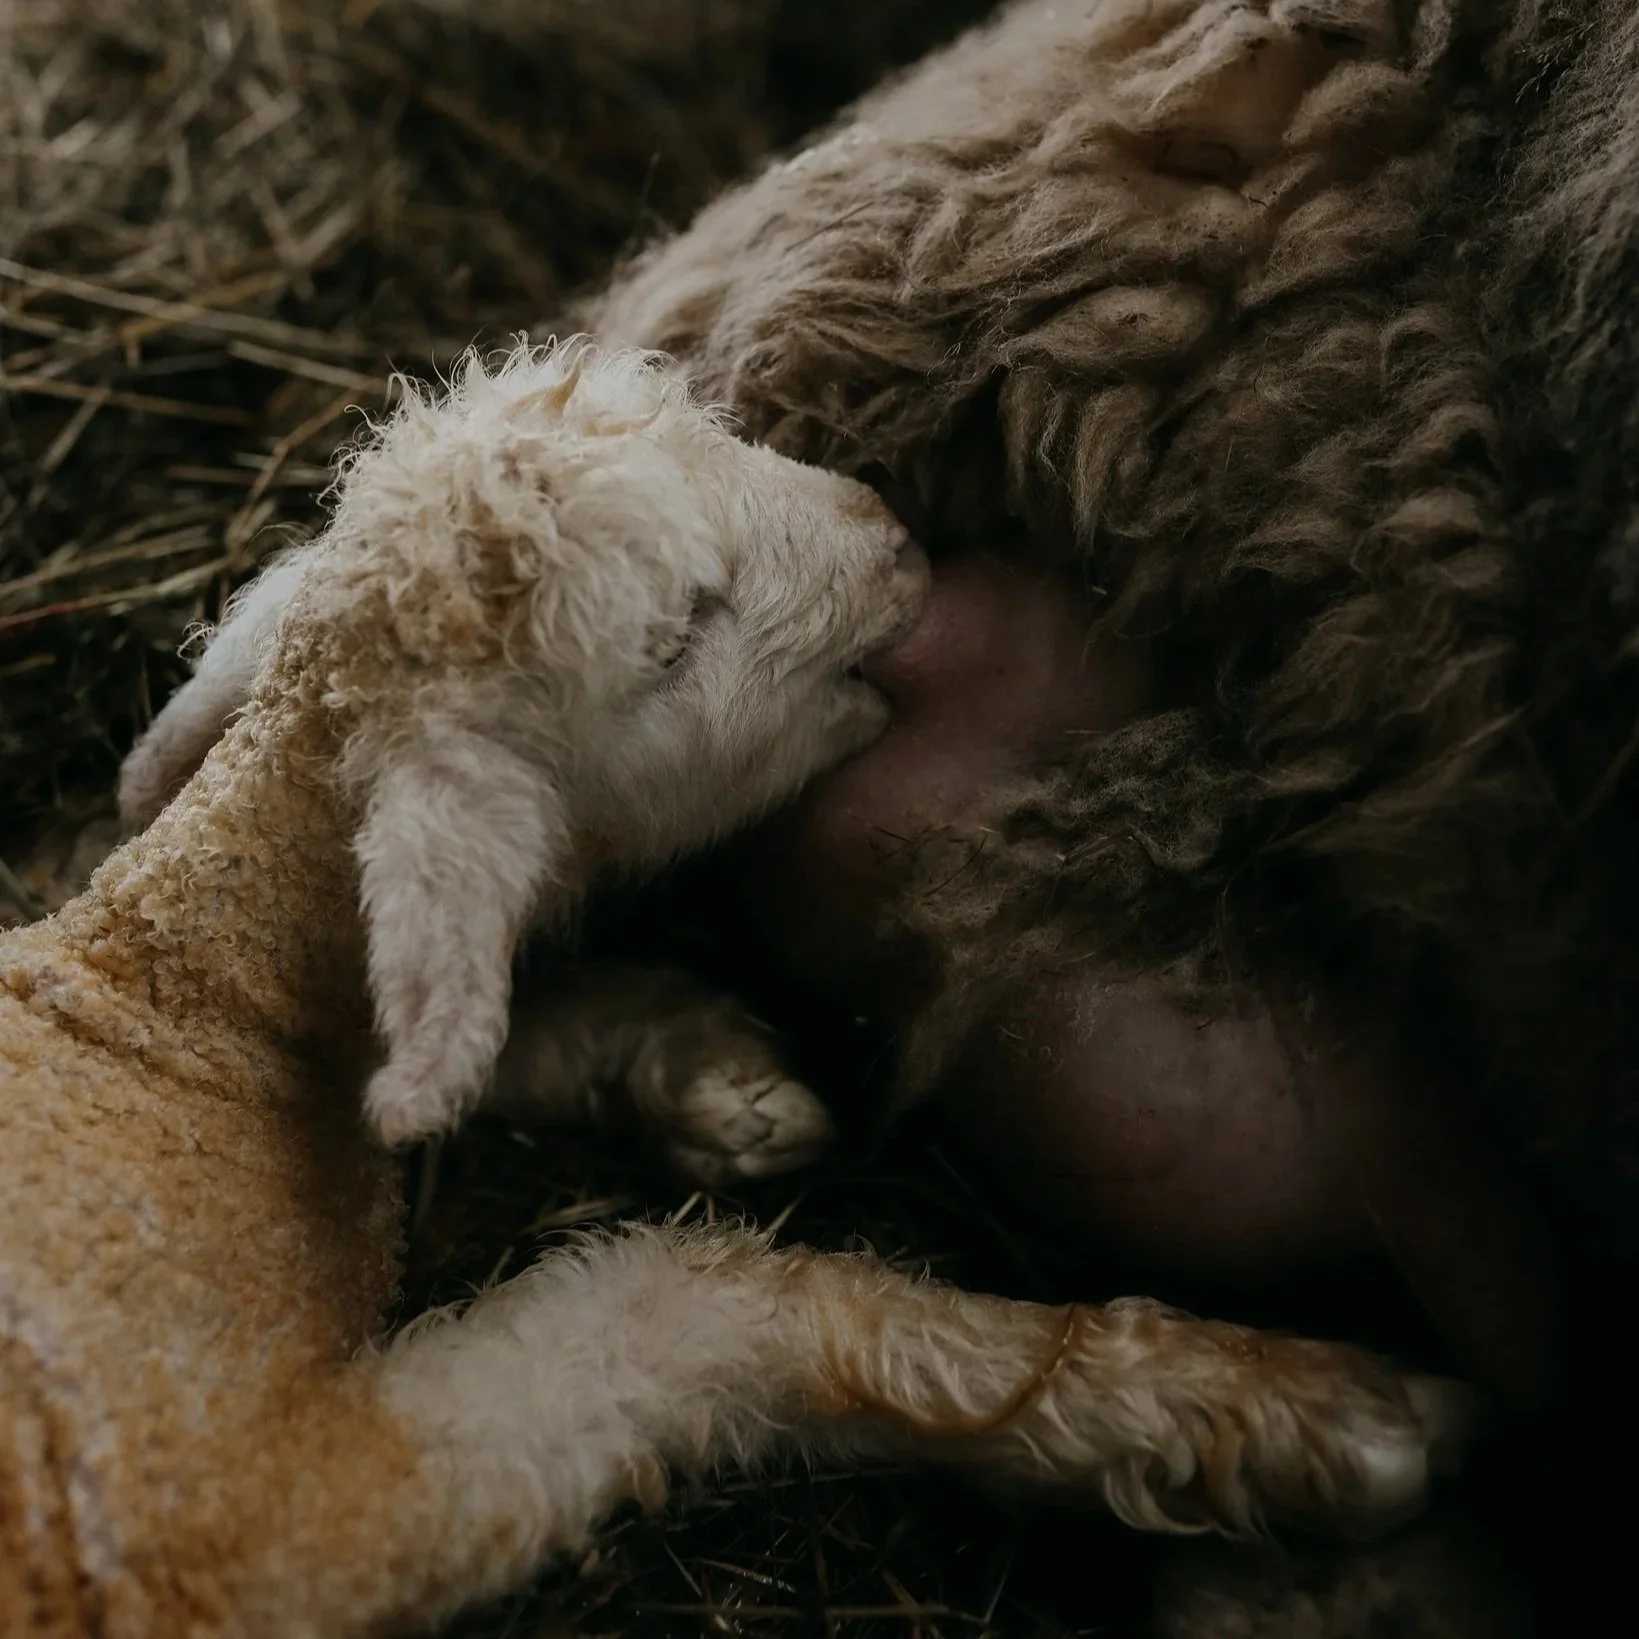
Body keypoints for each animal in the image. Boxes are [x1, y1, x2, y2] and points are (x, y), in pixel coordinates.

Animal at [2, 337, 1477, 1636]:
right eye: (676, 636)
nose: (891, 537)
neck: (182, 1023)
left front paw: (706, 1078)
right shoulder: (269, 1519)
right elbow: (680, 1305)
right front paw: (1257, 1411)